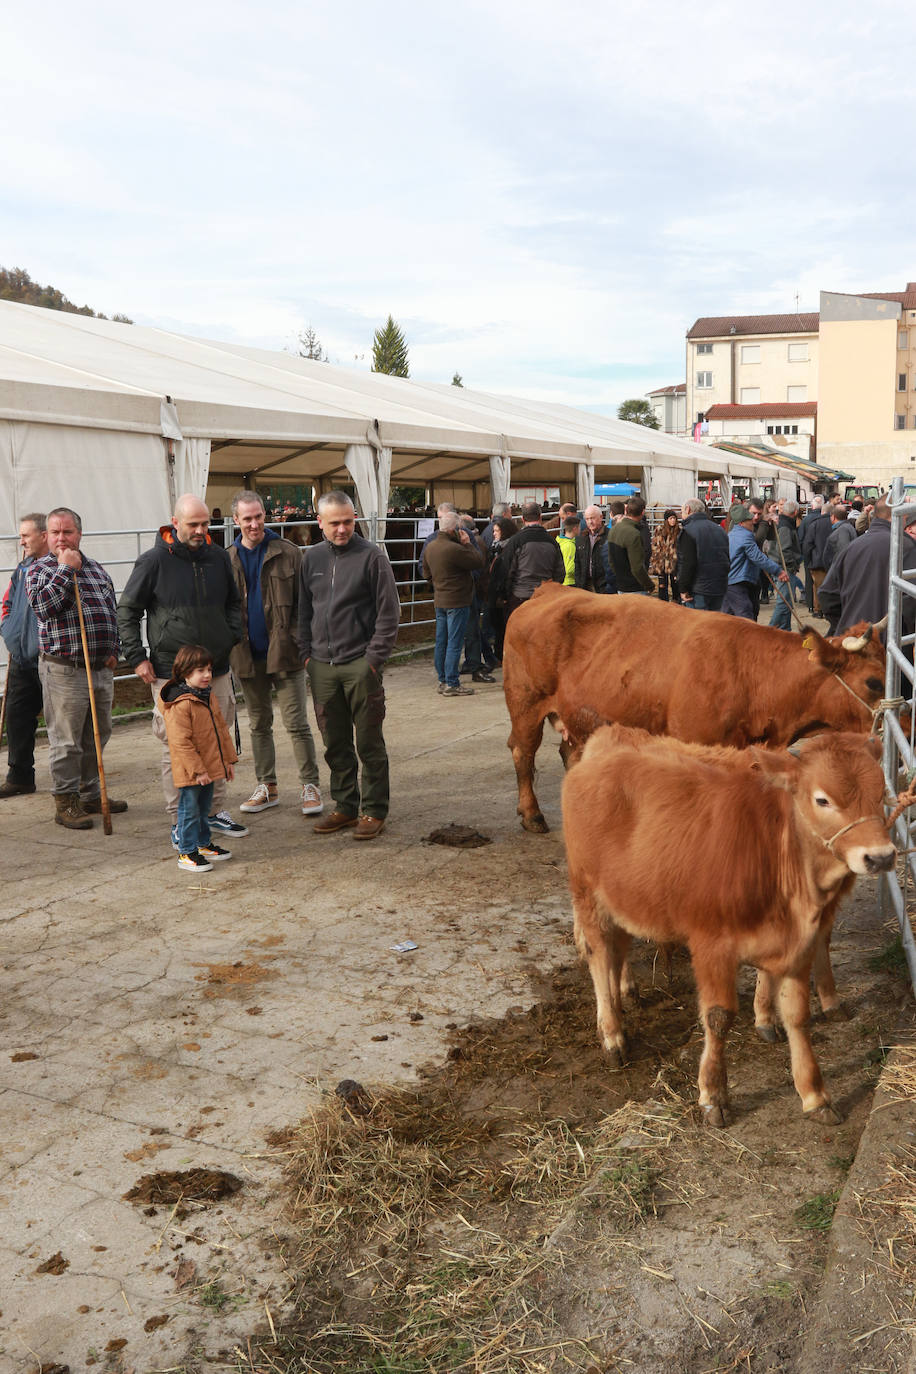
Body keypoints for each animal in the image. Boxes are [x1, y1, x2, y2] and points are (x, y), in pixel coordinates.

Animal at [502, 585, 889, 829]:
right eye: (874, 682)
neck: (750, 672)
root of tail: (551, 590)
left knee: (569, 753)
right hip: (526, 703)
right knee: (523, 752)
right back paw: (532, 815)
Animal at [565, 725, 895, 1121]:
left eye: (882, 794)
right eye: (822, 800)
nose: (880, 857)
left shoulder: (798, 943)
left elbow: (797, 1014)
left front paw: (815, 1094)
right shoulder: (711, 945)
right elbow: (719, 1017)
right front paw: (714, 1094)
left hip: (627, 900)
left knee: (618, 951)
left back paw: (620, 1004)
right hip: (589, 896)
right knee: (599, 957)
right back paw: (612, 1035)